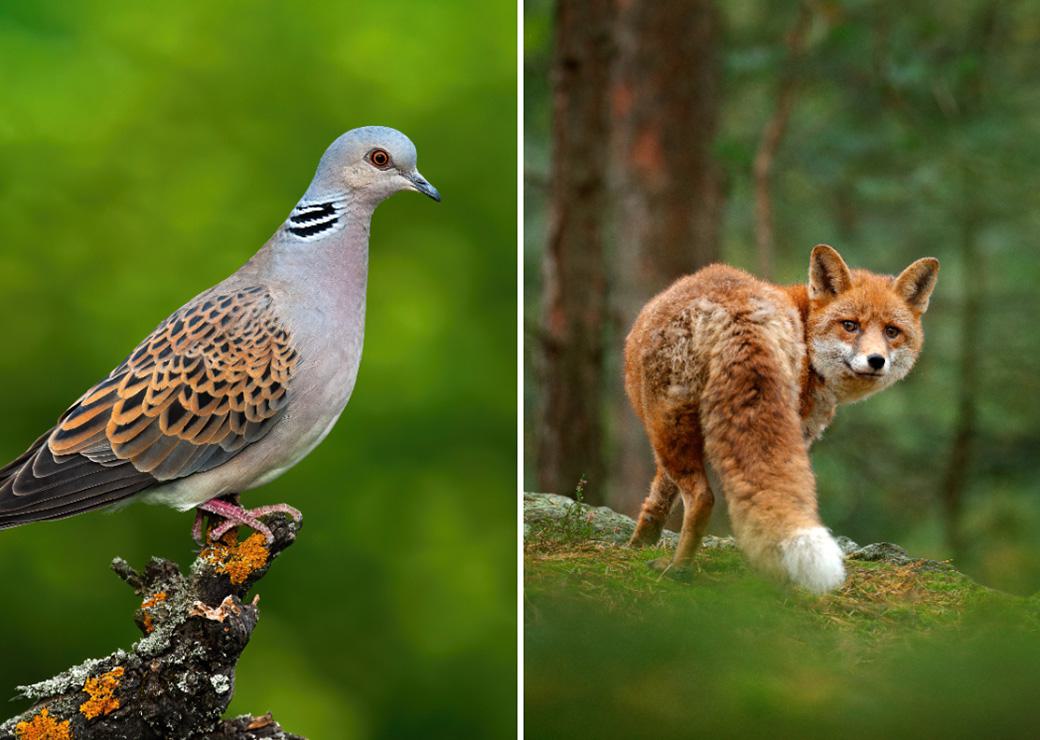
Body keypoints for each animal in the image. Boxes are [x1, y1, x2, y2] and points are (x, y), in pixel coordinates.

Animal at [624, 245, 939, 593]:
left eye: (891, 331)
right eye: (850, 325)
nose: (876, 360)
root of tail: (738, 312)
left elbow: (658, 496)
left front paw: (637, 546)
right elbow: (660, 496)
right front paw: (639, 544)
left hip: (666, 425)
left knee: (702, 498)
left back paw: (679, 568)